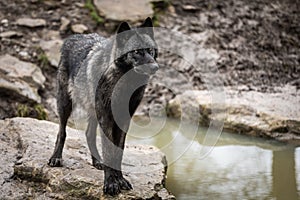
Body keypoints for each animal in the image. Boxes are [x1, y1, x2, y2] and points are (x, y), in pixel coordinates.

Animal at [48, 17, 159, 195]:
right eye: (136, 52)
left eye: (150, 50)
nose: (155, 67)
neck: (124, 85)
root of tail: (74, 37)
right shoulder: (106, 118)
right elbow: (108, 150)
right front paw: (111, 183)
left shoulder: (123, 121)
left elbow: (117, 152)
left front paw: (119, 180)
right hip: (65, 104)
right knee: (62, 132)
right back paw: (56, 158)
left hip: (93, 112)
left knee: (88, 134)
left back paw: (97, 161)